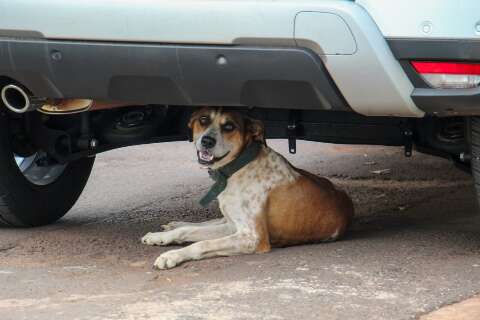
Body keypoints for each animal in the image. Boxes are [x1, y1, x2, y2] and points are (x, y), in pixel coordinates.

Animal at [141, 108, 354, 270]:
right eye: (203, 120)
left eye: (229, 126)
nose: (207, 141)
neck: (239, 166)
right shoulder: (233, 226)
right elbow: (188, 231)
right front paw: (161, 237)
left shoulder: (252, 237)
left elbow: (201, 243)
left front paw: (172, 255)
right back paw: (170, 227)